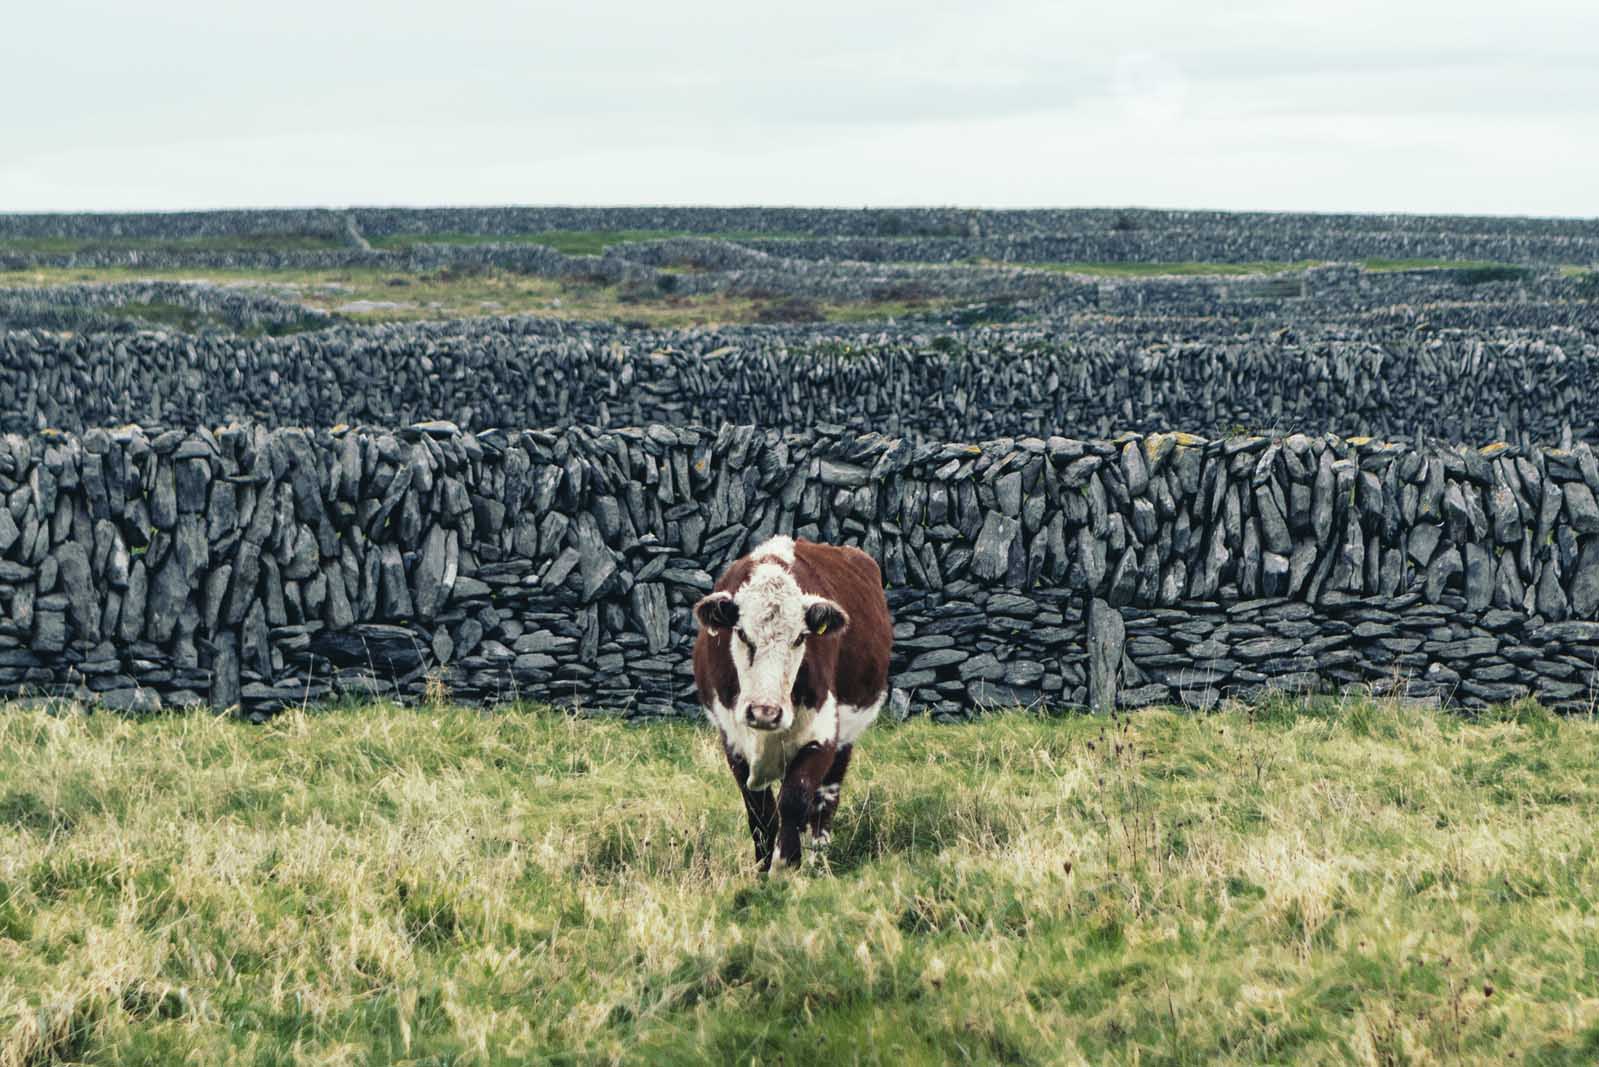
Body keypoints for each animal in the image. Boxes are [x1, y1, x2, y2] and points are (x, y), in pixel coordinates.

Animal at [693, 537, 895, 870]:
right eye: (742, 633)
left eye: (800, 638)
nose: (765, 712)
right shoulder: (732, 740)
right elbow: (762, 814)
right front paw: (762, 869)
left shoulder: (823, 734)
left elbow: (795, 800)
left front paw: (785, 866)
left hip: (846, 738)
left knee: (825, 801)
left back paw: (817, 860)